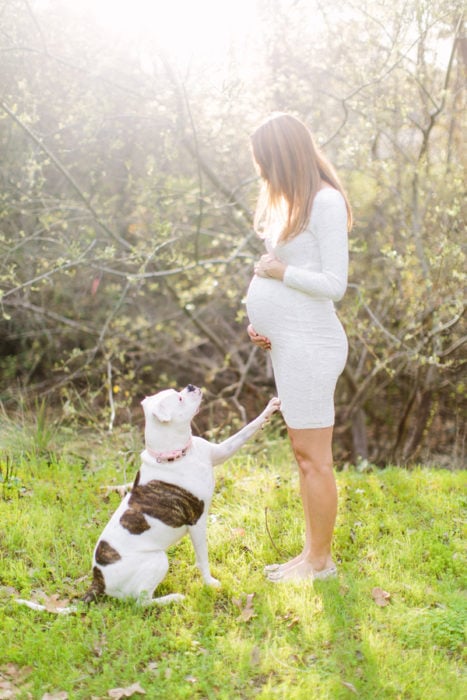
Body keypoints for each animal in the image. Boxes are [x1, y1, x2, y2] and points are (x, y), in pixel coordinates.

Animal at [80, 386, 280, 604]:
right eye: (180, 399)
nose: (191, 386)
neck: (177, 454)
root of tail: (98, 580)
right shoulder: (197, 522)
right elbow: (203, 557)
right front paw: (210, 583)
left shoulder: (220, 452)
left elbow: (246, 431)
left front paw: (269, 409)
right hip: (157, 560)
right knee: (142, 602)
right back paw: (173, 598)